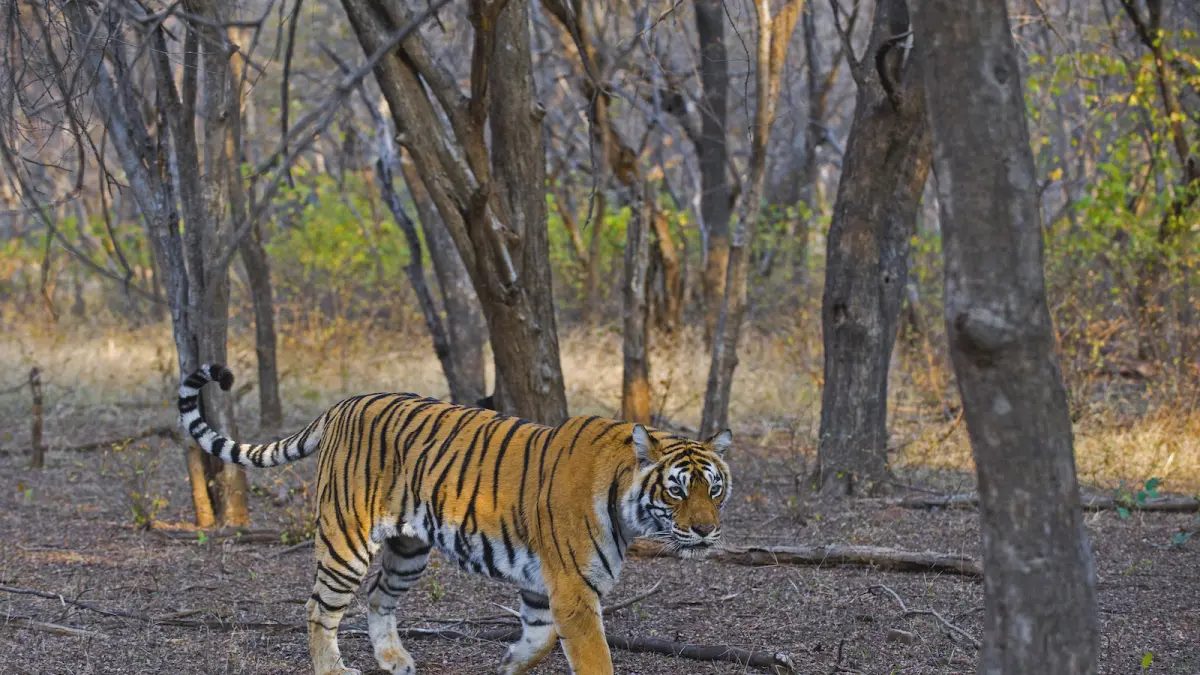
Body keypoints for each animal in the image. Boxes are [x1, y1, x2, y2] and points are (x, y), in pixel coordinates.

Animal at [178, 364, 732, 675]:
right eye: (677, 489)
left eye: (715, 488)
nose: (705, 530)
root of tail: (343, 404)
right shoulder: (574, 591)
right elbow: (594, 659)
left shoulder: (544, 588)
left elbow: (536, 641)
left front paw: (507, 666)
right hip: (346, 541)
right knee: (319, 608)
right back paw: (333, 670)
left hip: (407, 550)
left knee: (378, 598)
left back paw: (395, 662)